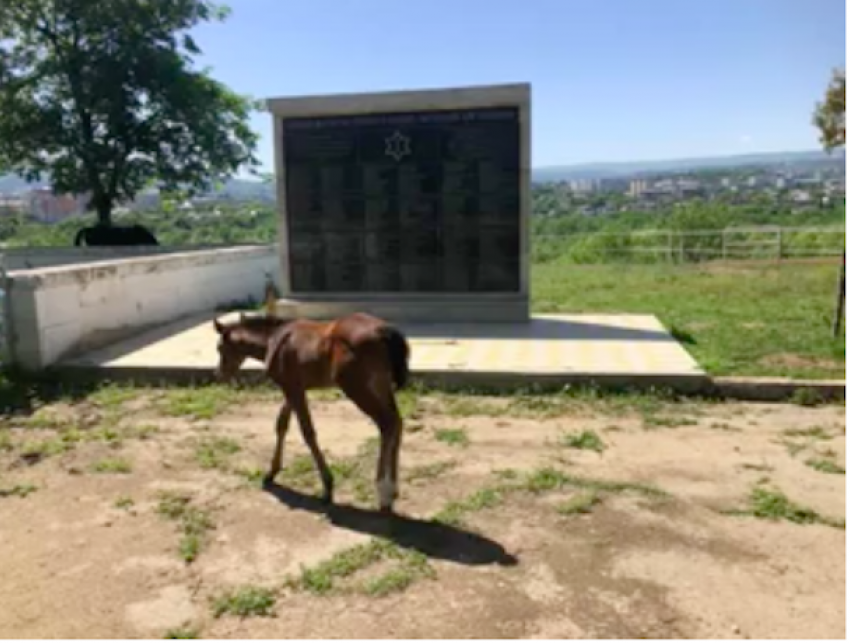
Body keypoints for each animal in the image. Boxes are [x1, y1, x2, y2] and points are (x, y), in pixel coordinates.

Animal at [214, 310, 410, 516]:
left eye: (219, 348)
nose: (218, 375)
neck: (273, 338)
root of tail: (385, 331)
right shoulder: (293, 388)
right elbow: (281, 424)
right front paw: (271, 472)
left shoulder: (293, 389)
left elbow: (307, 431)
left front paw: (328, 487)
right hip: (381, 386)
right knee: (397, 421)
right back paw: (394, 491)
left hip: (357, 388)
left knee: (387, 423)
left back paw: (384, 492)